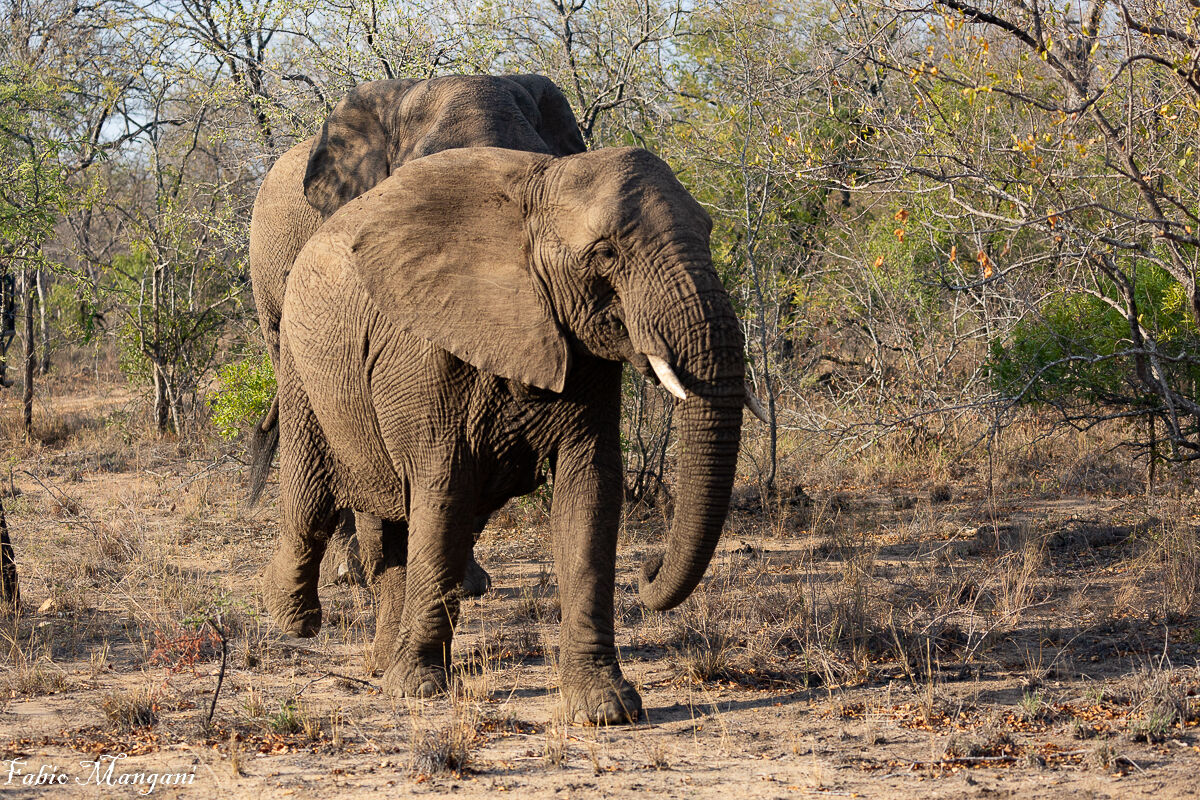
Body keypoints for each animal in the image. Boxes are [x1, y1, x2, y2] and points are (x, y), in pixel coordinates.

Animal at [260, 145, 748, 724]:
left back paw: (381, 665)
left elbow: (589, 495)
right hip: (299, 363)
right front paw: (419, 690)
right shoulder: (426, 350)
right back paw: (293, 624)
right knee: (312, 505)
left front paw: (607, 708)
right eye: (605, 253)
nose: (648, 570)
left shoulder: (581, 345)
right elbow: (445, 492)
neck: (538, 191)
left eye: (709, 230)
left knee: (393, 530)